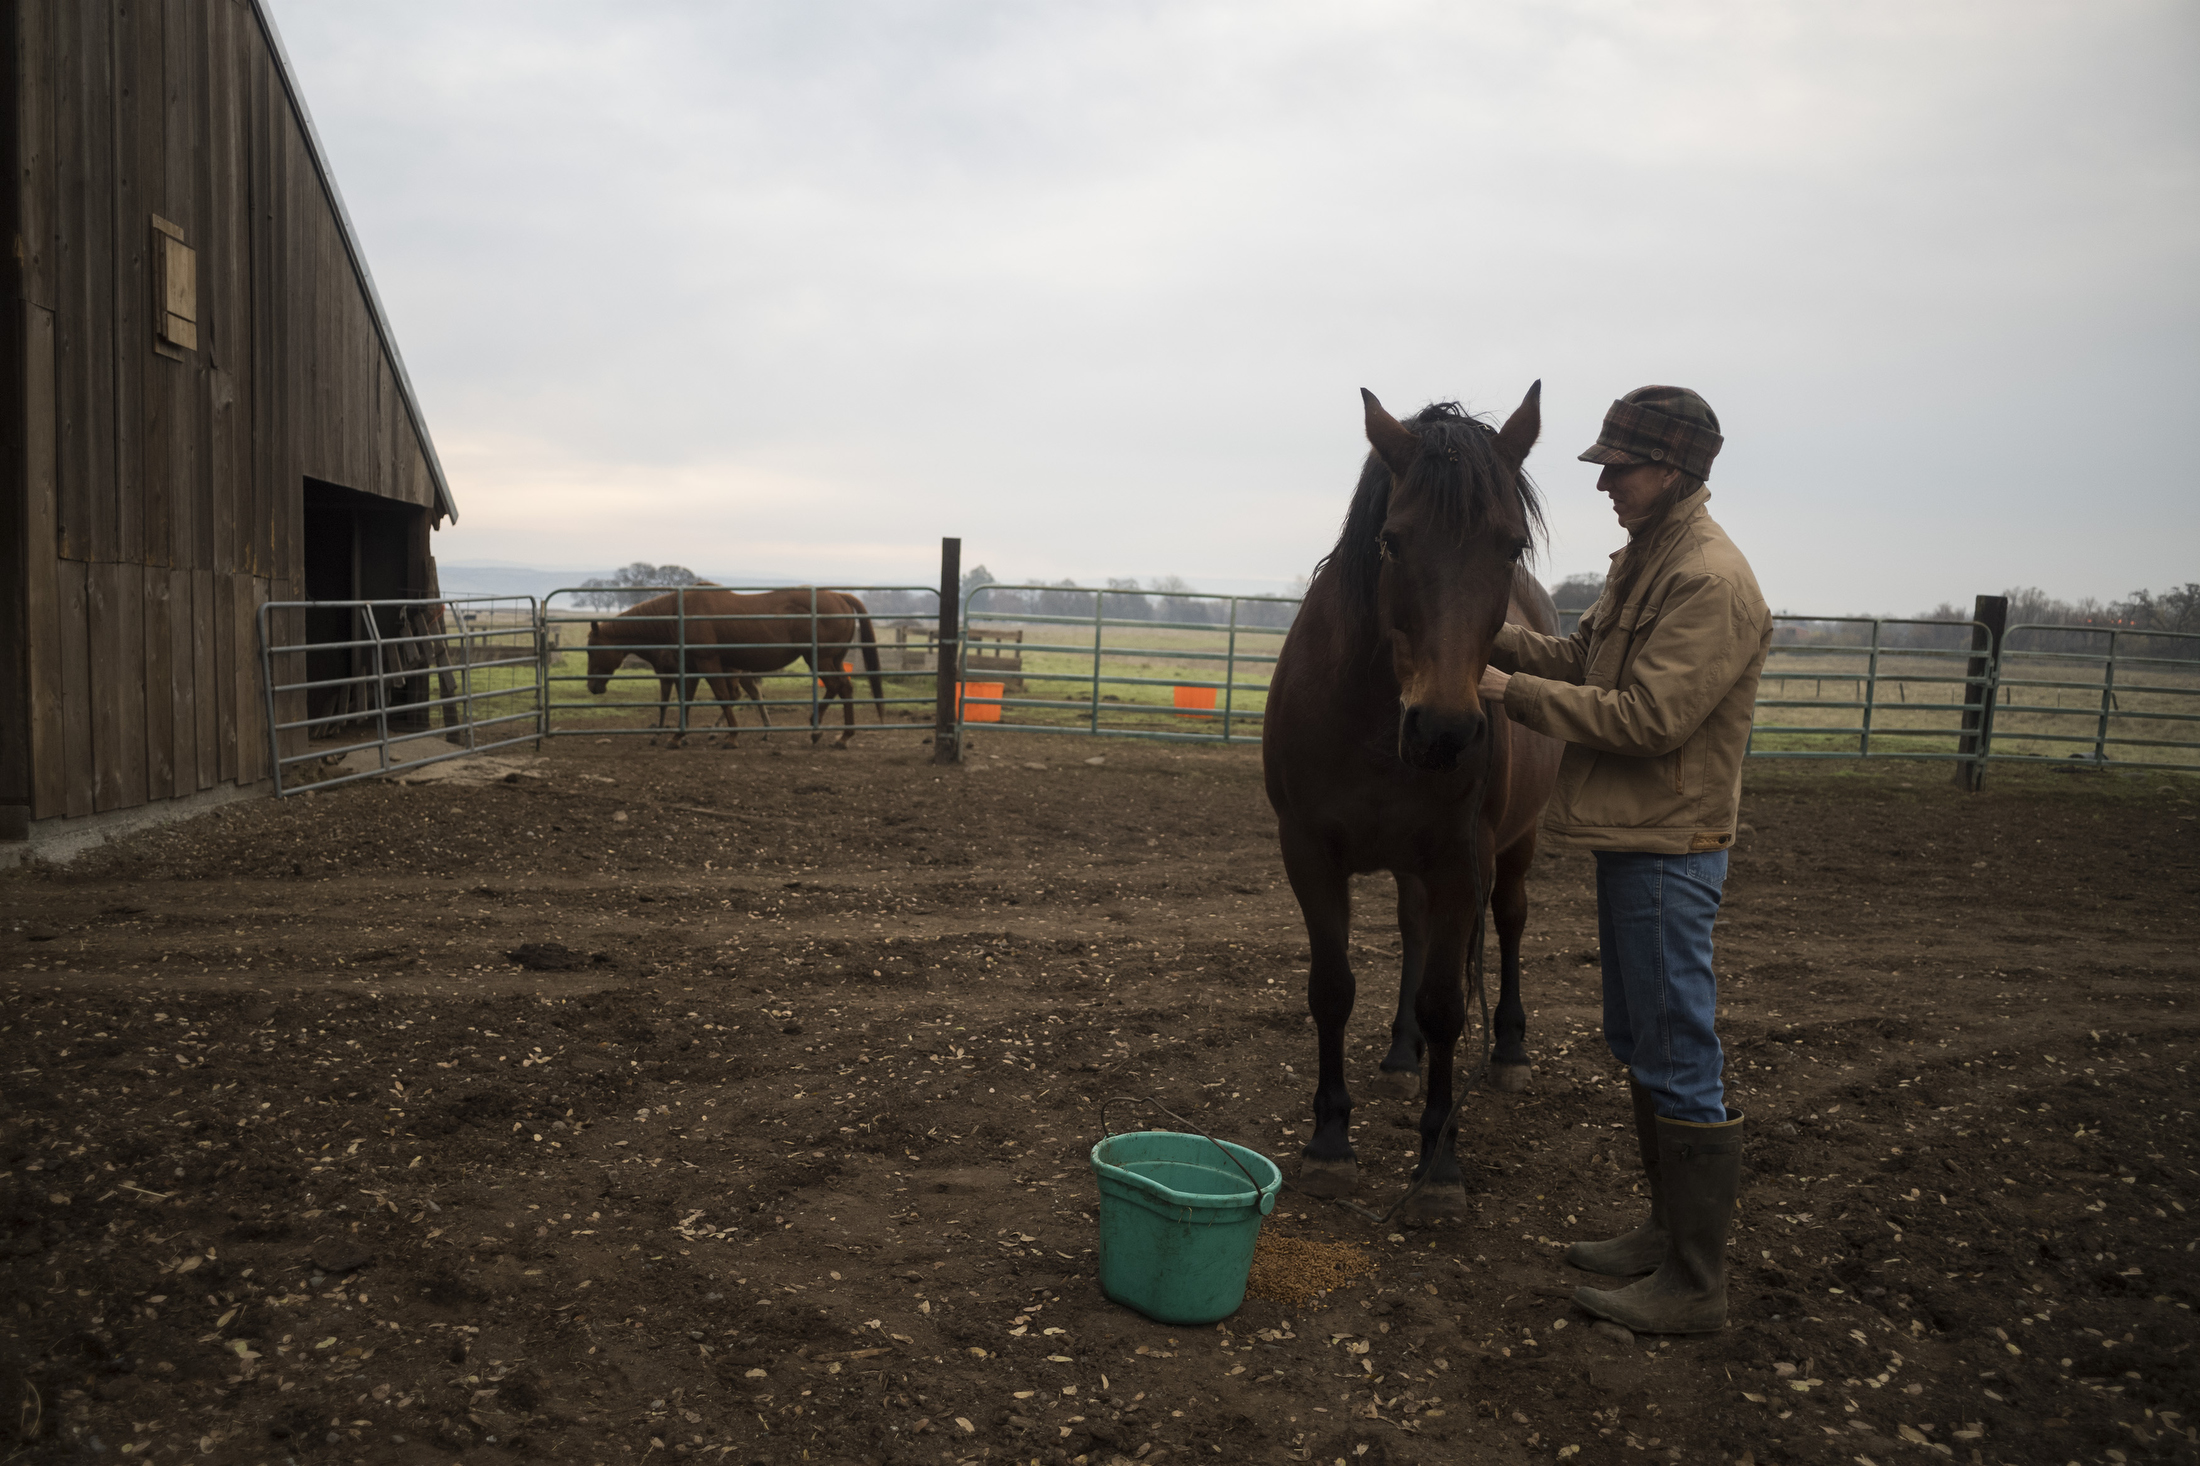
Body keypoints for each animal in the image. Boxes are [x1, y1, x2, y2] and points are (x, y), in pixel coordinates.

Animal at [594, 581, 893, 744]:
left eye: (593, 648)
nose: (593, 687)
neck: (680, 613)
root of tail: (840, 596)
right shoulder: (690, 668)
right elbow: (688, 699)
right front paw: (679, 736)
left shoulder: (705, 663)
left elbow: (721, 695)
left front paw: (731, 736)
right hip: (831, 659)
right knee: (838, 687)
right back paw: (821, 730)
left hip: (821, 657)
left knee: (841, 687)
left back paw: (839, 736)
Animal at [1258, 383, 1566, 1215]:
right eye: (1393, 542)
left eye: (1510, 546)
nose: (1445, 729)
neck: (1372, 715)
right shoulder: (1309, 855)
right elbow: (1333, 989)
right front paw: (1330, 1141)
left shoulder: (1460, 863)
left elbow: (1447, 1005)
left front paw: (1438, 1162)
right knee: (1414, 932)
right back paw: (1402, 1052)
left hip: (1514, 847)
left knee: (1510, 923)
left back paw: (1509, 1049)